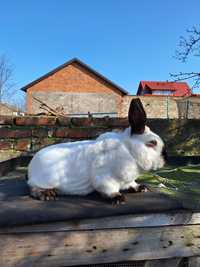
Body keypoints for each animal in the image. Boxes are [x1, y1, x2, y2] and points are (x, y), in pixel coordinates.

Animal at [27, 99, 167, 204]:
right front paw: (118, 198)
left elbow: (132, 184)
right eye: (152, 143)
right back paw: (47, 194)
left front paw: (141, 188)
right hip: (45, 180)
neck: (129, 151)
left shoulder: (128, 180)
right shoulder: (104, 179)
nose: (166, 157)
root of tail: (31, 168)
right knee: (32, 187)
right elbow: (109, 190)